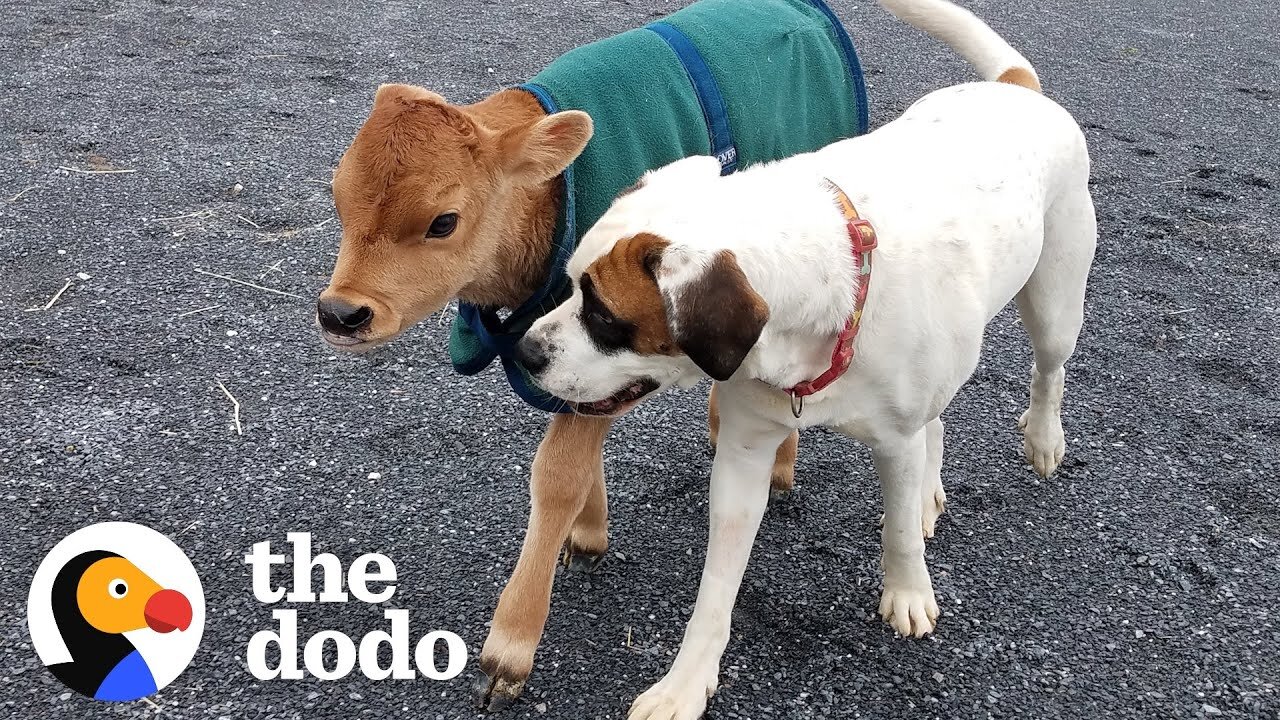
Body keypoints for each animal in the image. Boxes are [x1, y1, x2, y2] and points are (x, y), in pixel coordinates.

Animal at [514, 2, 1095, 712]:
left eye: (604, 317)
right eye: (569, 285)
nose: (526, 350)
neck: (824, 296)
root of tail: (1015, 88)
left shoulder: (892, 442)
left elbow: (896, 530)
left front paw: (908, 591)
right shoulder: (742, 453)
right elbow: (717, 583)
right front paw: (688, 679)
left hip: (1056, 298)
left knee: (1048, 366)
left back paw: (1041, 438)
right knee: (937, 416)